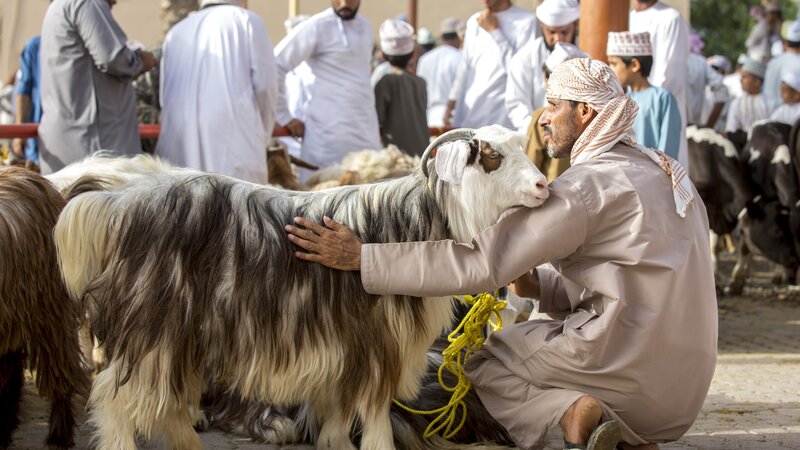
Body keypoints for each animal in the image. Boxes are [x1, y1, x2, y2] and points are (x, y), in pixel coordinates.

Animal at [54, 125, 552, 448]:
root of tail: (116, 205)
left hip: (183, 335)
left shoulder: (344, 347)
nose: (543, 186)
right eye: (491, 156)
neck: (409, 225)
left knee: (172, 401)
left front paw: (334, 442)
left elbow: (338, 413)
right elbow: (374, 416)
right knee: (115, 401)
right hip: (152, 328)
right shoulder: (378, 344)